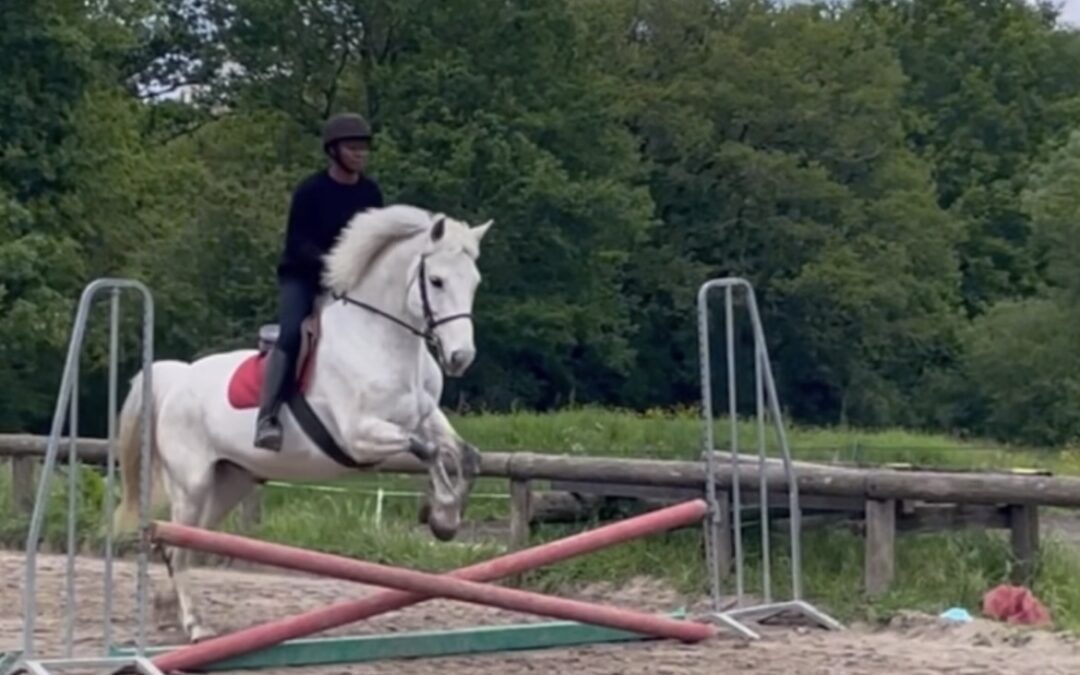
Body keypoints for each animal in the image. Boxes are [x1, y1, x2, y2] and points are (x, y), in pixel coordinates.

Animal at [111, 205, 492, 643]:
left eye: (475, 282)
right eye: (436, 280)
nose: (461, 357)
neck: (383, 342)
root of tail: (177, 378)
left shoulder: (426, 417)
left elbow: (464, 454)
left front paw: (446, 518)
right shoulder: (360, 436)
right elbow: (427, 451)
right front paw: (441, 513)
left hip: (229, 482)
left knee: (181, 547)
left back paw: (169, 609)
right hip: (192, 485)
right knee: (178, 545)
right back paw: (194, 626)